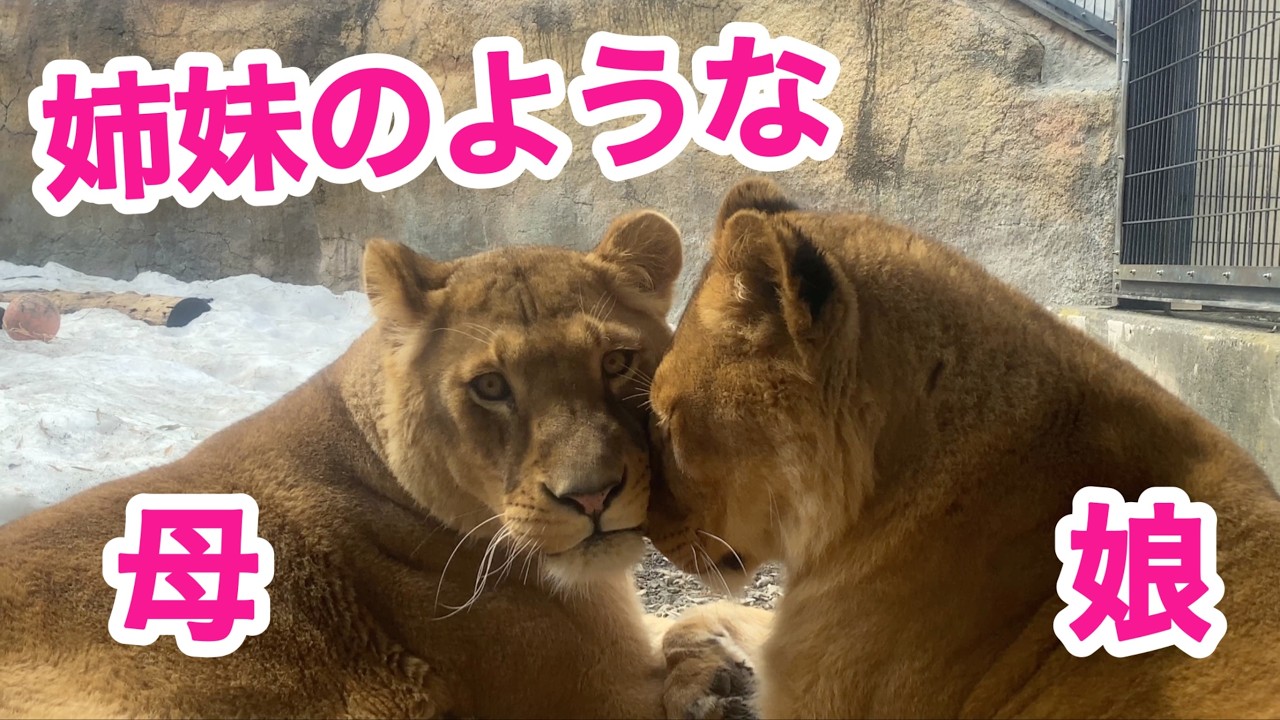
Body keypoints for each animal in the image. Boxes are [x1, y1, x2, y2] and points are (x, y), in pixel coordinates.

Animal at [0, 211, 752, 720]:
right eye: (491, 386)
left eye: (616, 361)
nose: (592, 497)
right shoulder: (597, 692)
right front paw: (709, 678)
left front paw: (713, 652)